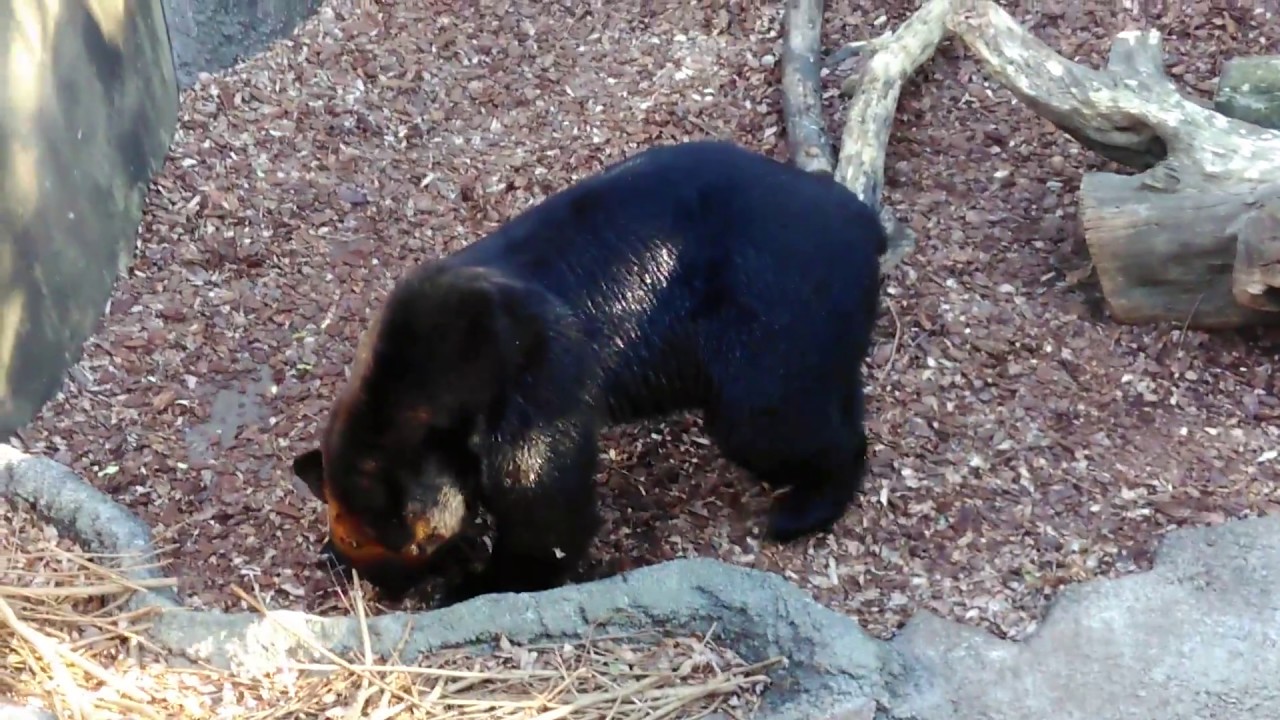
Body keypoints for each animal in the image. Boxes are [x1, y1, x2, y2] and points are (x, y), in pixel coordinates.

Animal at [290, 139, 888, 605]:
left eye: (408, 546)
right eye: (355, 543)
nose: (389, 585)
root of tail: (863, 225)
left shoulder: (528, 374)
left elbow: (545, 504)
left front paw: (483, 581)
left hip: (773, 315)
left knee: (774, 423)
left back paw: (804, 505)